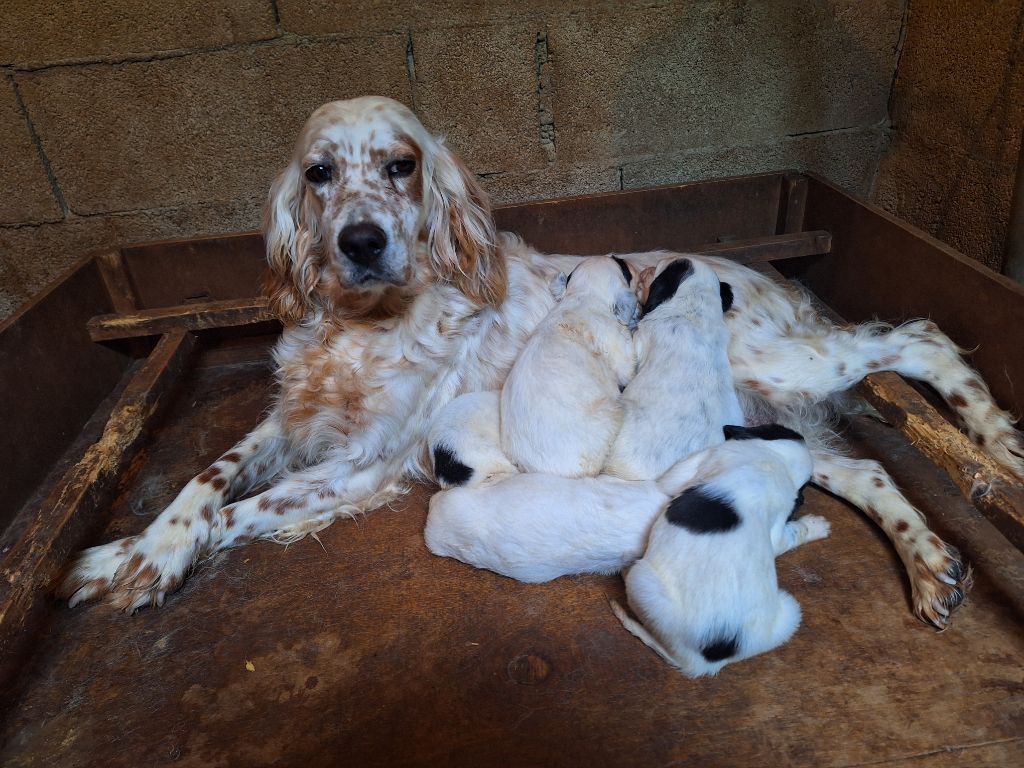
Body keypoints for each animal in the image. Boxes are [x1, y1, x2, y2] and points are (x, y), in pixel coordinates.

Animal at [497, 256, 634, 479]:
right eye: (624, 270)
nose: (622, 258)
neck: (583, 296)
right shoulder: (620, 352)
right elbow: (627, 367)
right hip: (611, 414)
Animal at [610, 428, 827, 679]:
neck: (775, 458)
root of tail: (704, 665)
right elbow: (784, 538)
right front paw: (815, 527)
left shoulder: (700, 459)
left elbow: (666, 483)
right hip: (790, 611)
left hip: (643, 580)